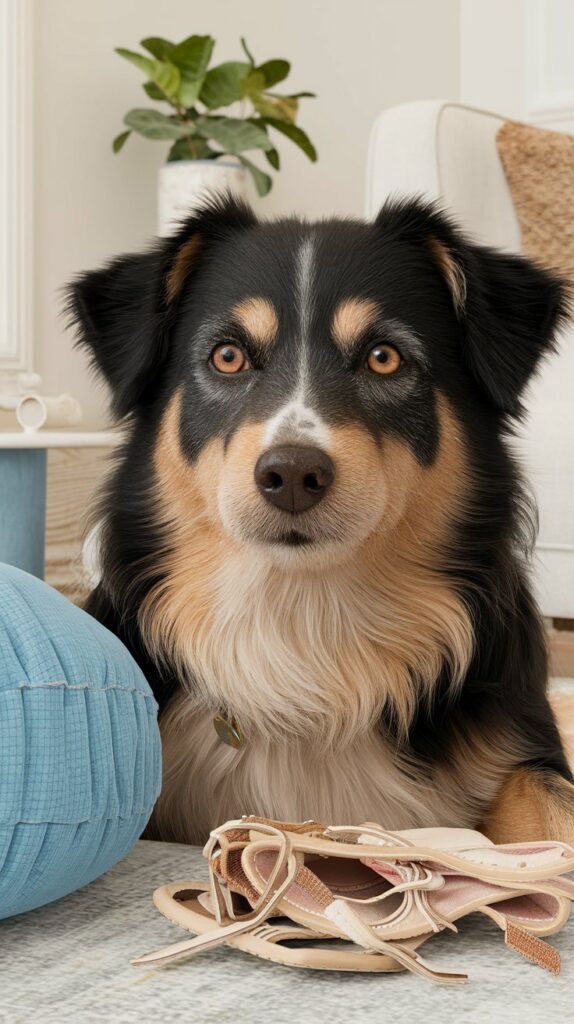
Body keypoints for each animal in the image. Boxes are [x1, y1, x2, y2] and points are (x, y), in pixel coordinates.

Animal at [69, 195, 572, 843]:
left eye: (383, 358)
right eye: (227, 356)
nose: (291, 475)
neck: (306, 625)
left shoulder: (519, 745)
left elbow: (551, 801)